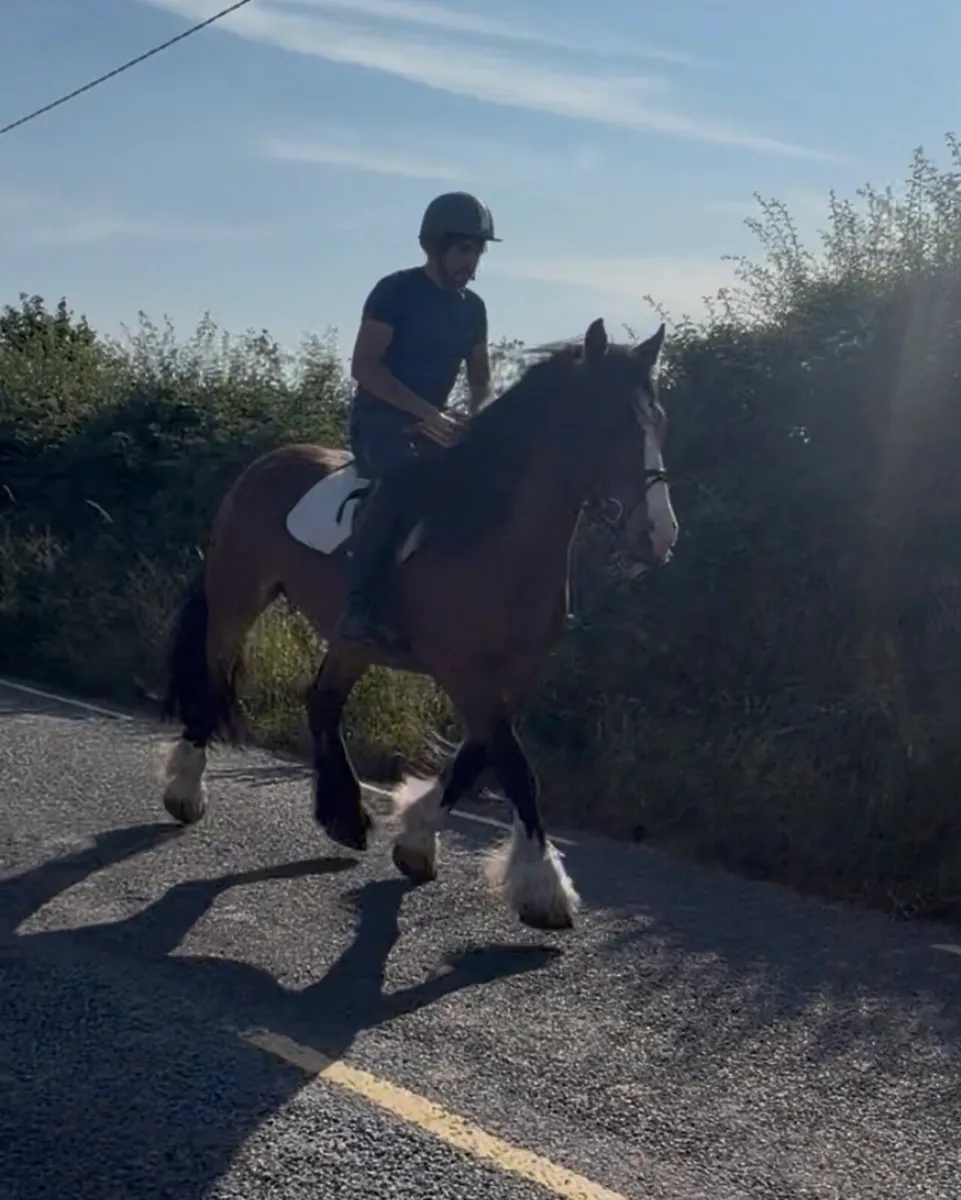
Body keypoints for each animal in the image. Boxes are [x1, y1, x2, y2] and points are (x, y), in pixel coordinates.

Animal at [159, 316, 678, 931]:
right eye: (611, 425)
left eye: (659, 422)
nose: (659, 536)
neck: (495, 537)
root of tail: (264, 466)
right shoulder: (463, 671)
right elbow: (515, 766)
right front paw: (544, 889)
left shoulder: (516, 674)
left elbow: (477, 757)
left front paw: (416, 840)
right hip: (237, 597)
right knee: (212, 681)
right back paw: (186, 791)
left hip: (349, 638)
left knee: (322, 701)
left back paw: (344, 816)